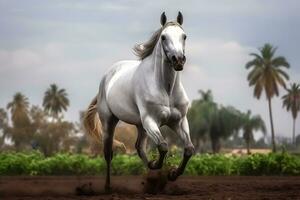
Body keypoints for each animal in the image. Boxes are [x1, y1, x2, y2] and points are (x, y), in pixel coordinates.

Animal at [84, 11, 195, 191]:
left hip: (140, 125)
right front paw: (159, 165)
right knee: (108, 153)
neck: (166, 89)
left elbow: (189, 149)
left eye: (184, 36)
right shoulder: (151, 120)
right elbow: (163, 146)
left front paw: (171, 174)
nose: (178, 60)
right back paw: (108, 187)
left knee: (139, 147)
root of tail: (107, 76)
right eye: (163, 37)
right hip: (110, 122)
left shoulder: (178, 121)